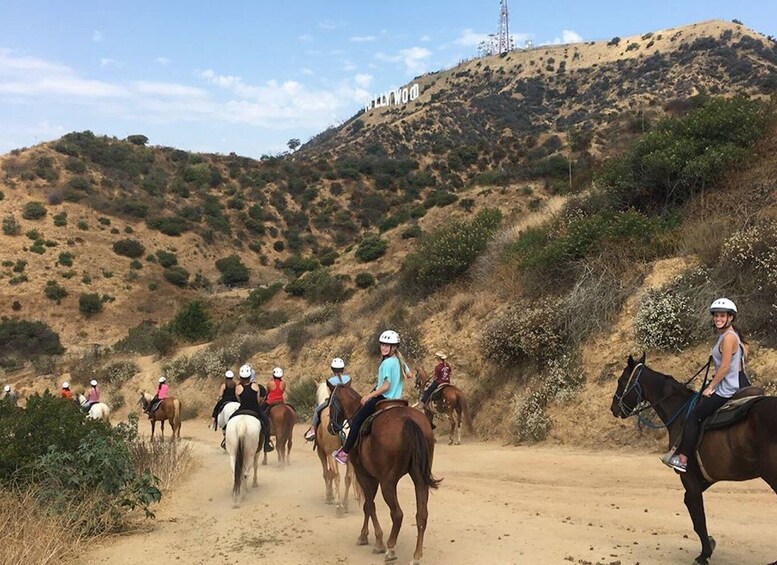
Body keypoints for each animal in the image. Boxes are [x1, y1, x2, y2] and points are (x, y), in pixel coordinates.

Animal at [312, 378, 358, 516]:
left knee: (336, 476)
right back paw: (345, 504)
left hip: (330, 454)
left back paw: (339, 505)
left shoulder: (322, 452)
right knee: (347, 477)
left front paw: (329, 496)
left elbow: (327, 473)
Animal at [326, 382, 440, 560]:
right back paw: (416, 555)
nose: (330, 427)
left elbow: (368, 505)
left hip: (388, 483)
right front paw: (368, 536)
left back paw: (390, 548)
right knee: (422, 515)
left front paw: (373, 539)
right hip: (419, 478)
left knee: (397, 514)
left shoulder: (365, 475)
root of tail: (408, 419)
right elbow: (368, 504)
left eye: (330, 403)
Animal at [608, 352, 772, 564]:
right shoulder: (704, 476)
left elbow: (697, 514)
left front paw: (704, 553)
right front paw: (709, 543)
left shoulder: (688, 475)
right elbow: (691, 505)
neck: (680, 412)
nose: (613, 408)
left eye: (621, 380)